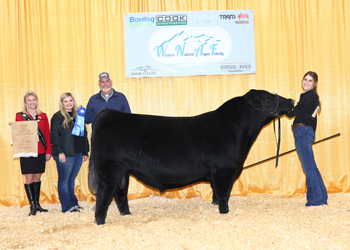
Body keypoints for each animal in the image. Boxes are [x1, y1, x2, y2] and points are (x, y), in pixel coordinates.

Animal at [89, 89, 294, 225]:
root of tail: (109, 112)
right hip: (109, 170)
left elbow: (216, 194)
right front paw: (224, 213)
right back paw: (100, 221)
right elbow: (224, 195)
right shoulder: (225, 171)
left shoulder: (217, 174)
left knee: (120, 193)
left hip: (123, 172)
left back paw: (127, 215)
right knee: (104, 195)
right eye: (268, 99)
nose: (291, 101)